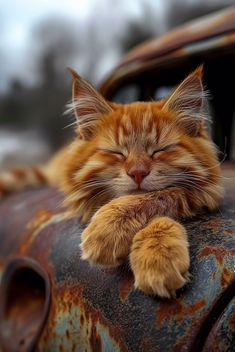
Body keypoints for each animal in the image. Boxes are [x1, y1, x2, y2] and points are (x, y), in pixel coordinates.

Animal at [0, 66, 222, 296]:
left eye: (159, 150)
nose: (138, 173)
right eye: (117, 153)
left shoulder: (201, 192)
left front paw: (157, 255)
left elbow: (159, 197)